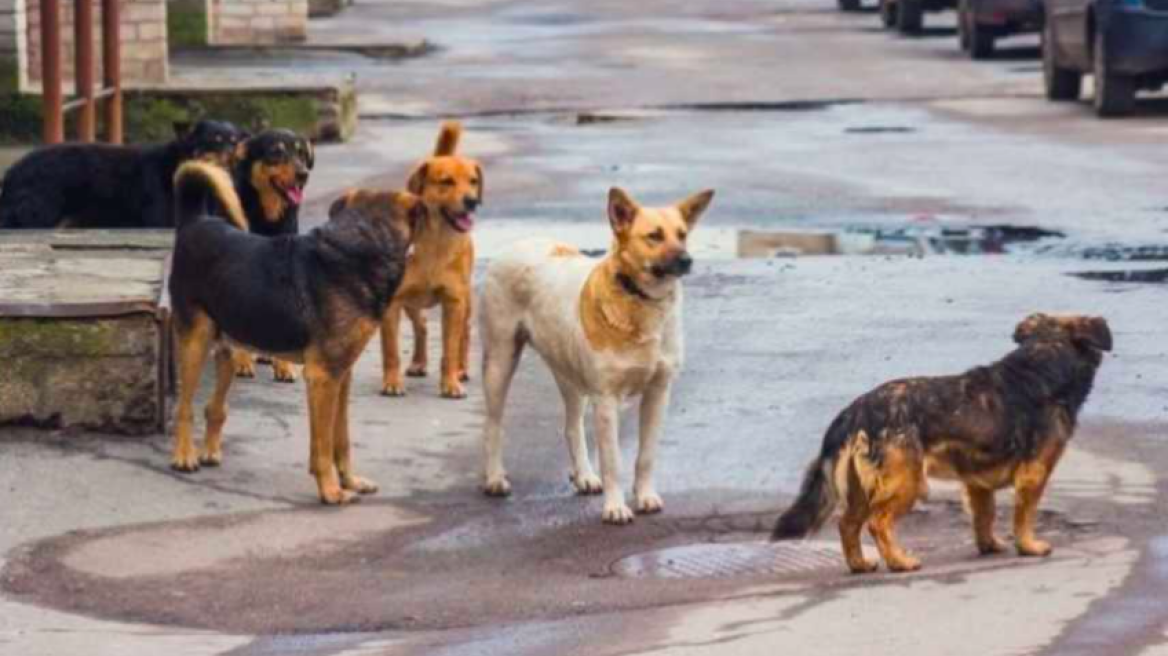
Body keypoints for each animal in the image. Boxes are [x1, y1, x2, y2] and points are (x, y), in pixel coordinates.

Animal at [0, 118, 246, 228]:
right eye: (215, 140)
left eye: (234, 141)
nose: (234, 157)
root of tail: (12, 173)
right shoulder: (164, 219)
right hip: (41, 212)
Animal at [164, 161, 420, 501]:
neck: (360, 244)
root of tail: (195, 221)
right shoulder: (323, 377)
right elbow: (322, 446)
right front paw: (330, 490)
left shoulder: (342, 375)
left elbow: (341, 439)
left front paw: (349, 481)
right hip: (195, 341)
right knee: (184, 408)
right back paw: (184, 456)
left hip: (228, 348)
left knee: (214, 406)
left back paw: (210, 451)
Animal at [226, 127, 315, 380]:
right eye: (276, 152)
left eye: (302, 153)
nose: (303, 174)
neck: (268, 218)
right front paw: (242, 361)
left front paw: (283, 366)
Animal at [474, 186, 710, 522]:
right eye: (654, 236)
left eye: (682, 234)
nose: (687, 260)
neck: (640, 300)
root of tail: (519, 243)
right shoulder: (607, 400)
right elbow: (613, 462)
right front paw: (616, 507)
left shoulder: (658, 393)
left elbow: (646, 455)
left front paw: (645, 496)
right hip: (499, 362)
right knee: (493, 424)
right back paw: (495, 478)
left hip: (570, 376)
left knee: (572, 427)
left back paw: (583, 475)